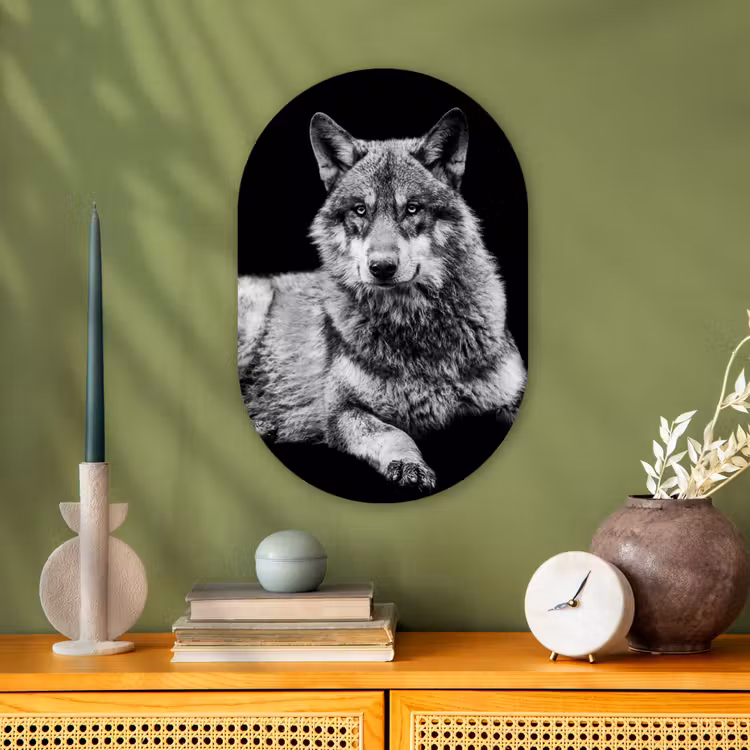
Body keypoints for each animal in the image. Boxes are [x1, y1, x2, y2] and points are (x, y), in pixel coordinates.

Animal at [238, 108, 526, 493]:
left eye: (413, 209)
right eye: (360, 210)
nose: (382, 268)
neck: (416, 329)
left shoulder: (511, 396)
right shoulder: (342, 411)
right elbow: (394, 434)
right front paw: (409, 465)